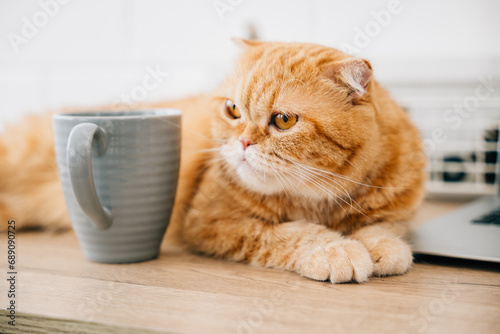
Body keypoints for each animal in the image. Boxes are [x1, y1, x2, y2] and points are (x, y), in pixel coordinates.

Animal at [0, 40, 424, 284]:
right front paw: (335, 249)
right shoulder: (211, 222)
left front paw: (381, 245)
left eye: (284, 120)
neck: (318, 200)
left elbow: (385, 227)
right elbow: (291, 233)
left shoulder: (396, 206)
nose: (242, 142)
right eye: (233, 110)